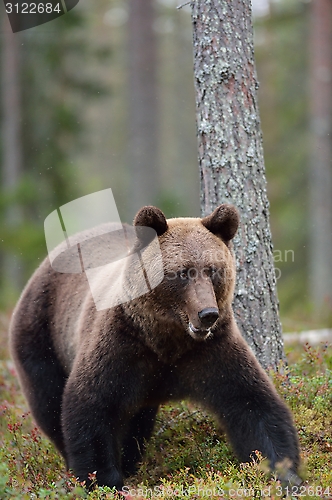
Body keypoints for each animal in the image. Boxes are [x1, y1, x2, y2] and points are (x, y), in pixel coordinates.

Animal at [9, 203, 300, 488]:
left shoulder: (211, 351)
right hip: (40, 331)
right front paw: (103, 481)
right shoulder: (121, 346)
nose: (207, 314)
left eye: (213, 270)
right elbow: (91, 407)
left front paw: (284, 472)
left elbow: (253, 404)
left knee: (137, 424)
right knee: (48, 402)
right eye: (183, 272)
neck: (166, 338)